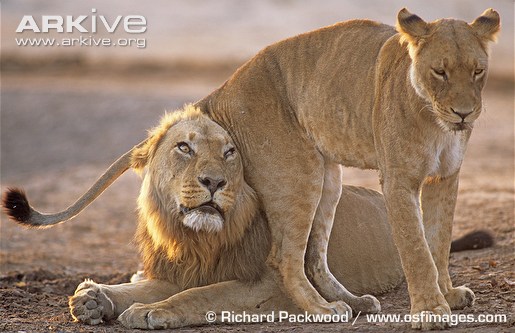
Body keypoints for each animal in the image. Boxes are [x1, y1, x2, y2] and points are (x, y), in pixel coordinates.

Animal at [1, 7, 500, 330]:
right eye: (439, 72)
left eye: (478, 71)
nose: (464, 114)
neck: (434, 118)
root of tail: (225, 85)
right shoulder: (398, 179)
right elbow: (416, 247)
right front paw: (431, 311)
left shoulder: (446, 177)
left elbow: (437, 239)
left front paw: (448, 296)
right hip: (299, 171)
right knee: (285, 258)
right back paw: (321, 312)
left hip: (328, 177)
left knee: (312, 257)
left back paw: (348, 301)